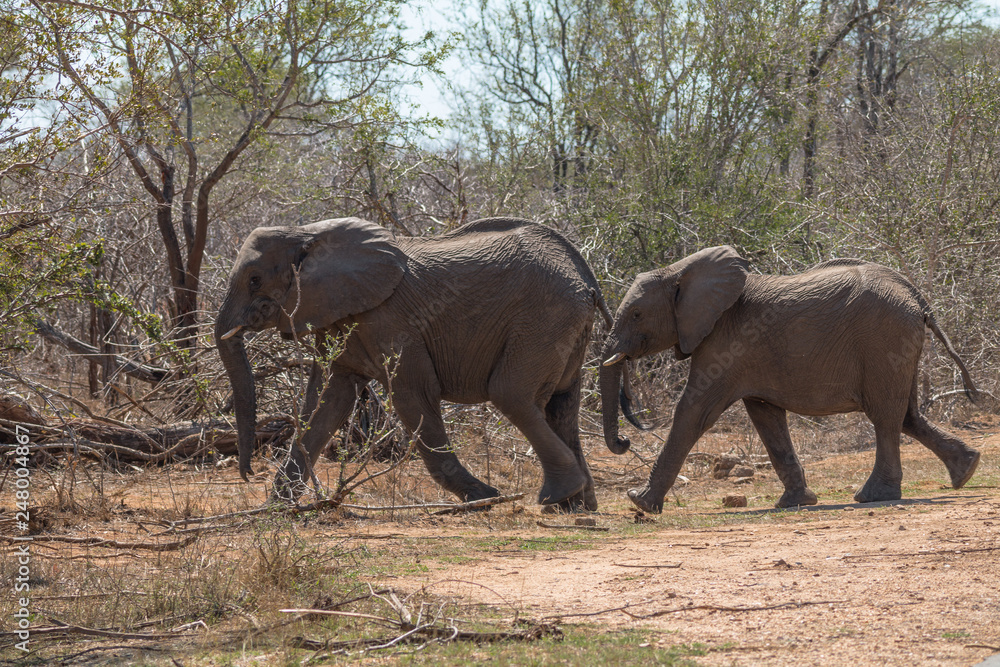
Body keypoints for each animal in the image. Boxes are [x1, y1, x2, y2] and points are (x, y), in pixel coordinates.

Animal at [215, 216, 612, 510]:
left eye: (254, 280)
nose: (247, 473)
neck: (308, 232)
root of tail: (587, 277)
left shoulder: (390, 321)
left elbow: (412, 394)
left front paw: (484, 498)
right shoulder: (340, 314)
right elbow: (329, 400)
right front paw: (276, 509)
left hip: (544, 318)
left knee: (511, 394)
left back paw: (556, 497)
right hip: (566, 325)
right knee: (562, 404)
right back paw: (578, 505)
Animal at [599, 246, 981, 513]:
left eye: (636, 314)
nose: (625, 440)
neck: (680, 269)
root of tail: (917, 296)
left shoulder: (726, 342)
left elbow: (694, 411)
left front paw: (639, 502)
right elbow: (766, 418)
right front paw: (796, 502)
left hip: (884, 338)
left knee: (886, 416)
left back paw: (873, 496)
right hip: (898, 345)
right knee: (908, 414)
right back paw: (966, 471)